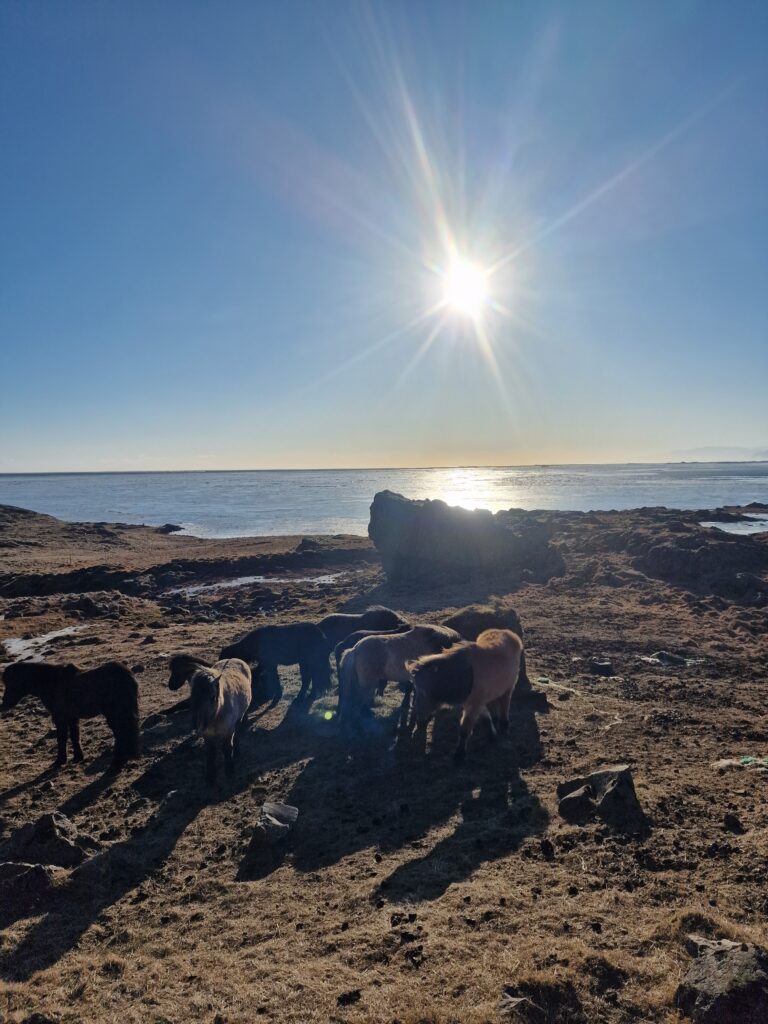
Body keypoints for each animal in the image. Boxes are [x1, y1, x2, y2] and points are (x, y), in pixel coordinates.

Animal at [2, 663, 140, 770]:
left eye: (11, 683)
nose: (4, 703)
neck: (51, 682)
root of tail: (128, 676)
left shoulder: (59, 717)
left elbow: (62, 738)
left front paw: (60, 760)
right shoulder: (72, 717)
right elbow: (74, 736)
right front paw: (78, 757)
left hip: (114, 713)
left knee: (122, 733)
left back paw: (117, 762)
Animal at [409, 626, 524, 765]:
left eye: (425, 690)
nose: (419, 721)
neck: (465, 674)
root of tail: (508, 633)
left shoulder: (474, 705)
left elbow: (464, 730)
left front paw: (459, 756)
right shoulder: (475, 703)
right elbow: (486, 719)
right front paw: (492, 736)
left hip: (509, 689)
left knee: (504, 707)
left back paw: (504, 727)